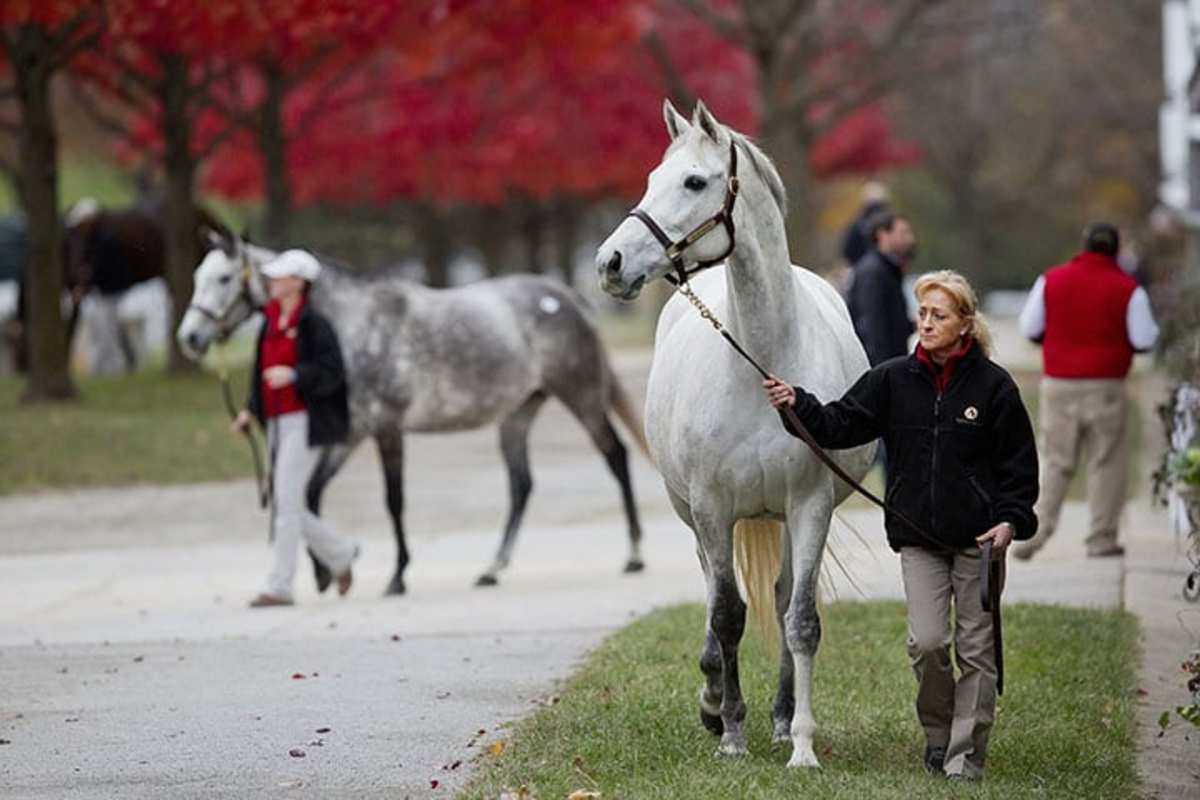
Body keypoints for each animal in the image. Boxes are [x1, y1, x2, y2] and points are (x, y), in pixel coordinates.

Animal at [176, 231, 648, 594]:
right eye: (199, 277)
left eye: (222, 278)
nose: (190, 338)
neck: (354, 326)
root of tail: (566, 297)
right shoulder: (351, 434)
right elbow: (310, 494)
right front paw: (329, 573)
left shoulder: (386, 429)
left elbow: (393, 501)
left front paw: (397, 576)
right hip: (517, 415)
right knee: (521, 486)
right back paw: (491, 569)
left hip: (581, 397)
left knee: (616, 457)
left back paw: (634, 556)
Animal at [597, 101, 873, 767]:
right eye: (651, 178)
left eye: (695, 182)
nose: (609, 264)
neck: (762, 363)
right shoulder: (712, 507)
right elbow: (726, 614)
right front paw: (730, 732)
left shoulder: (810, 504)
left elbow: (800, 619)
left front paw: (800, 744)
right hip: (694, 516)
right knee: (712, 591)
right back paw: (714, 697)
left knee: (779, 595)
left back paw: (779, 716)